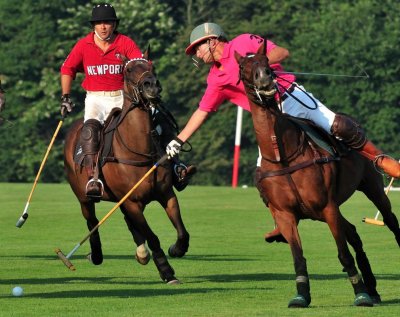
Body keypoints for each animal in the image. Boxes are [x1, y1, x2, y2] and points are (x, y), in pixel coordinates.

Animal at [64, 49, 189, 284]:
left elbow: (182, 231)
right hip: (84, 197)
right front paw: (167, 271)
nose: (152, 86)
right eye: (129, 70)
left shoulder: (165, 194)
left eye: (151, 66)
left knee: (126, 221)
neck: (139, 149)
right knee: (92, 221)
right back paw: (96, 255)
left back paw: (141, 254)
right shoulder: (131, 201)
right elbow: (153, 237)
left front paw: (176, 250)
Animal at [234, 41, 400, 306]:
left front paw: (360, 293)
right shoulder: (286, 215)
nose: (265, 80)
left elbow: (343, 253)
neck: (283, 155)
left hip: (371, 187)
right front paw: (301, 295)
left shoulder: (327, 207)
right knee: (354, 233)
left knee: (390, 221)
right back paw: (372, 287)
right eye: (243, 67)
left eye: (267, 62)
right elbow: (298, 257)